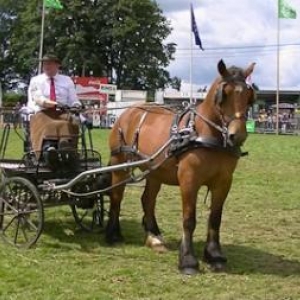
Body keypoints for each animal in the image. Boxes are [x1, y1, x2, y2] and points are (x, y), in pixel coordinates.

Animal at [105, 59, 255, 276]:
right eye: (223, 95)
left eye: (249, 96)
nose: (238, 135)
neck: (203, 133)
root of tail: (128, 111)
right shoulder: (189, 179)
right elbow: (189, 219)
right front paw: (188, 260)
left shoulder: (224, 181)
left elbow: (215, 218)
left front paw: (214, 256)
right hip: (119, 163)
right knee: (117, 196)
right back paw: (113, 234)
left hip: (155, 171)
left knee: (147, 200)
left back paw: (154, 237)